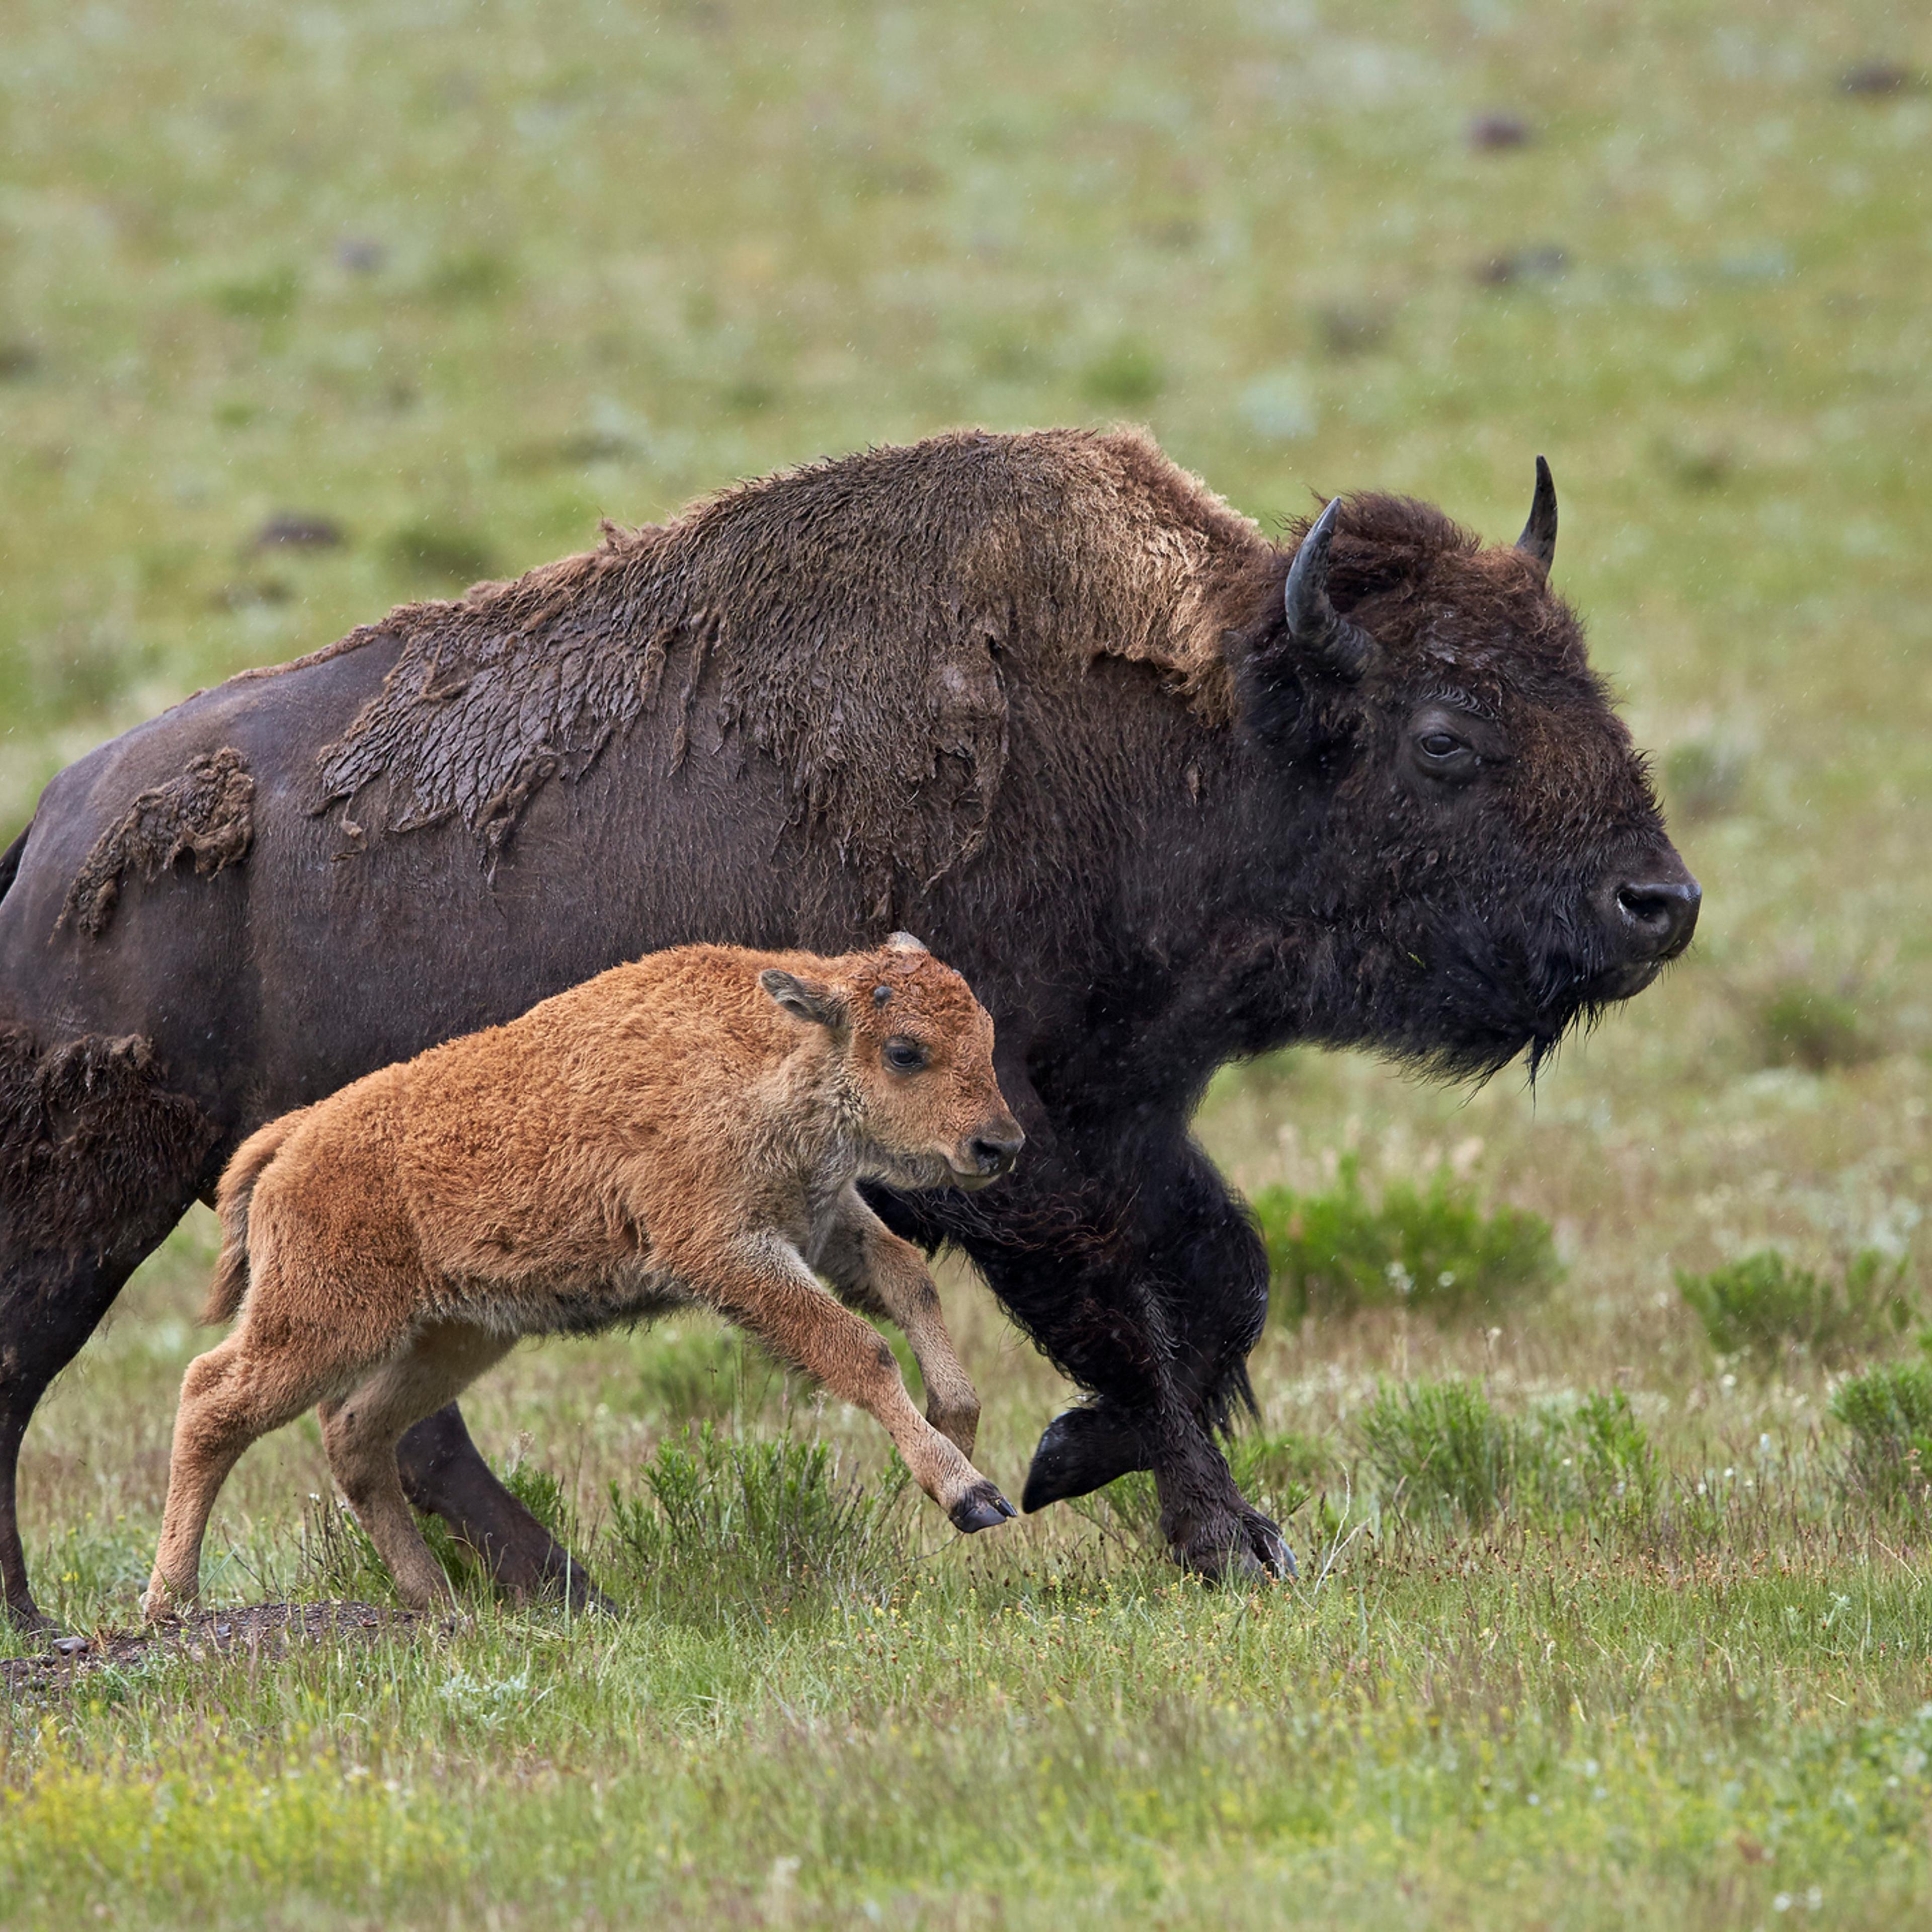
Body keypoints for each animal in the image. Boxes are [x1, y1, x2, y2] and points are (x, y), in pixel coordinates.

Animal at [0, 427, 1698, 1628]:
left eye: (1583, 678)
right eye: (1446, 736)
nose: (1658, 902)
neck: (1183, 725)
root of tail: (54, 833)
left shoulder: (1126, 1122)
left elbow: (1220, 1295)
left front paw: (1075, 1465)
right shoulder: (1020, 1155)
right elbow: (1136, 1319)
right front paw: (1218, 1536)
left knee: (398, 1425)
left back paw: (568, 1596)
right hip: (98, 1191)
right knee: (48, 1368)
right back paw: (47, 1628)